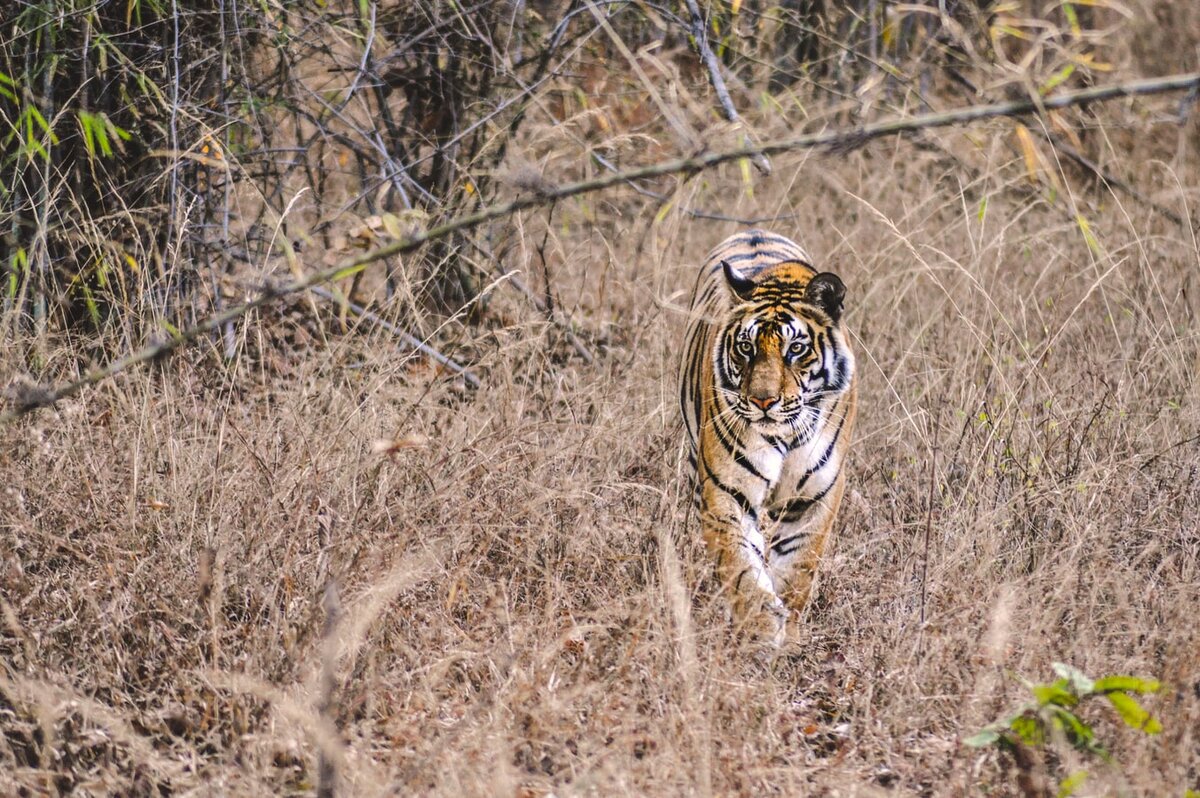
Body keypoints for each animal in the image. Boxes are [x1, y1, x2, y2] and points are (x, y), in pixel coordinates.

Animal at [681, 226, 859, 643]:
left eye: (796, 348)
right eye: (746, 347)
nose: (763, 401)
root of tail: (753, 230)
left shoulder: (814, 499)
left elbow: (798, 569)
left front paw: (788, 634)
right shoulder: (726, 492)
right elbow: (741, 568)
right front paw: (760, 629)